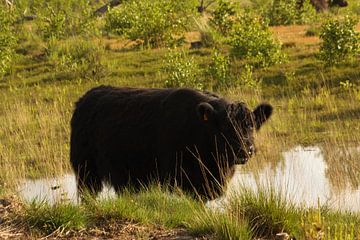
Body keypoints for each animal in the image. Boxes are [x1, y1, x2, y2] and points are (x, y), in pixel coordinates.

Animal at [70, 86, 272, 199]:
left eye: (251, 126)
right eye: (225, 127)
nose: (246, 150)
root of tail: (86, 98)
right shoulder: (180, 178)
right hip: (86, 169)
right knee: (87, 193)